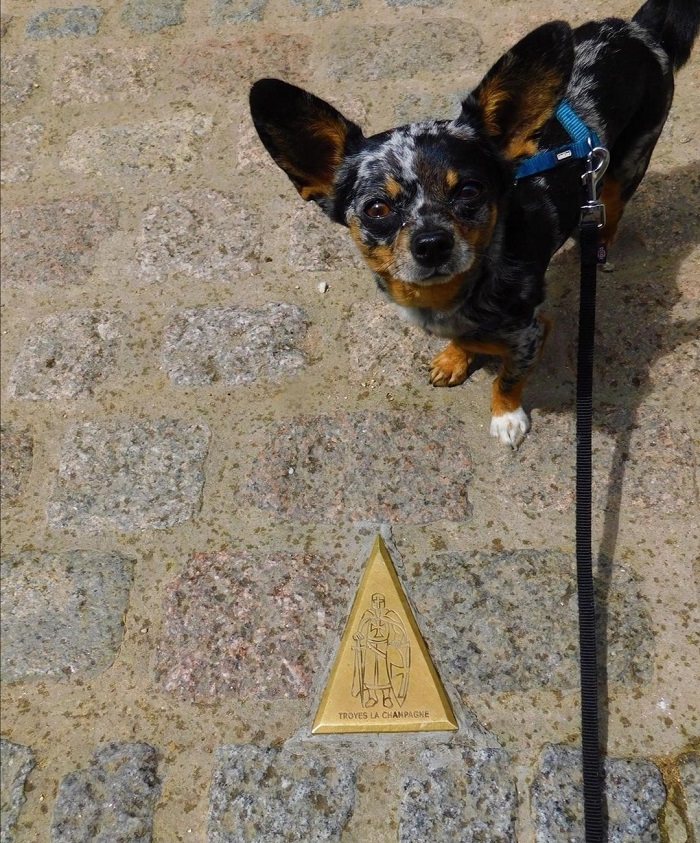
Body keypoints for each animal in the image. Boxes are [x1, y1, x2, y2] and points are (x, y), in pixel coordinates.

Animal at [252, 0, 700, 448]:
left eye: (469, 190)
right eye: (376, 209)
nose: (432, 243)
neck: (452, 293)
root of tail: (637, 30)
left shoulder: (531, 332)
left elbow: (507, 378)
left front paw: (506, 417)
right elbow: (461, 339)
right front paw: (455, 358)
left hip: (630, 160)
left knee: (614, 205)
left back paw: (600, 245)